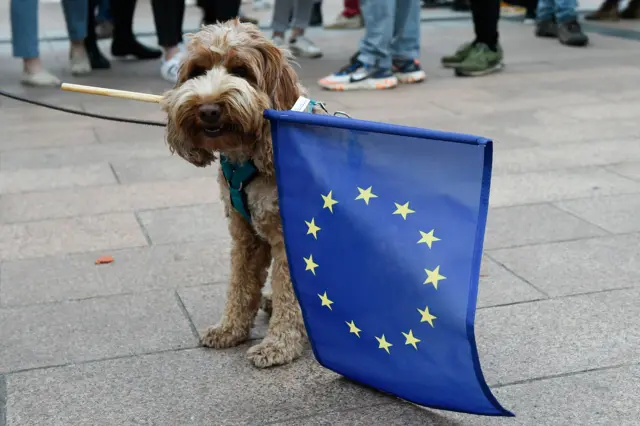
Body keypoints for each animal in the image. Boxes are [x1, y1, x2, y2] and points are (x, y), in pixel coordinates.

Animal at [160, 18, 320, 368]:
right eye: (197, 70)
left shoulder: (287, 240)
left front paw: (278, 345)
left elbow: (289, 294)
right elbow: (240, 284)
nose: (208, 109)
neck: (249, 158)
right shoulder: (244, 233)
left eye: (241, 70)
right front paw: (230, 329)